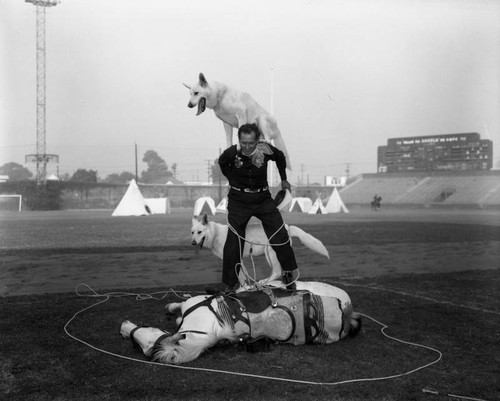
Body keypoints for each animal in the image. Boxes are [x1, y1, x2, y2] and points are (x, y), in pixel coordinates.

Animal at [192, 212, 332, 284]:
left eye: (200, 232)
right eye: (192, 232)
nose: (193, 243)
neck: (215, 234)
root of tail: (287, 227)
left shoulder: (236, 259)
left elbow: (241, 277)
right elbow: (242, 276)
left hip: (269, 254)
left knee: (276, 272)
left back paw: (264, 282)